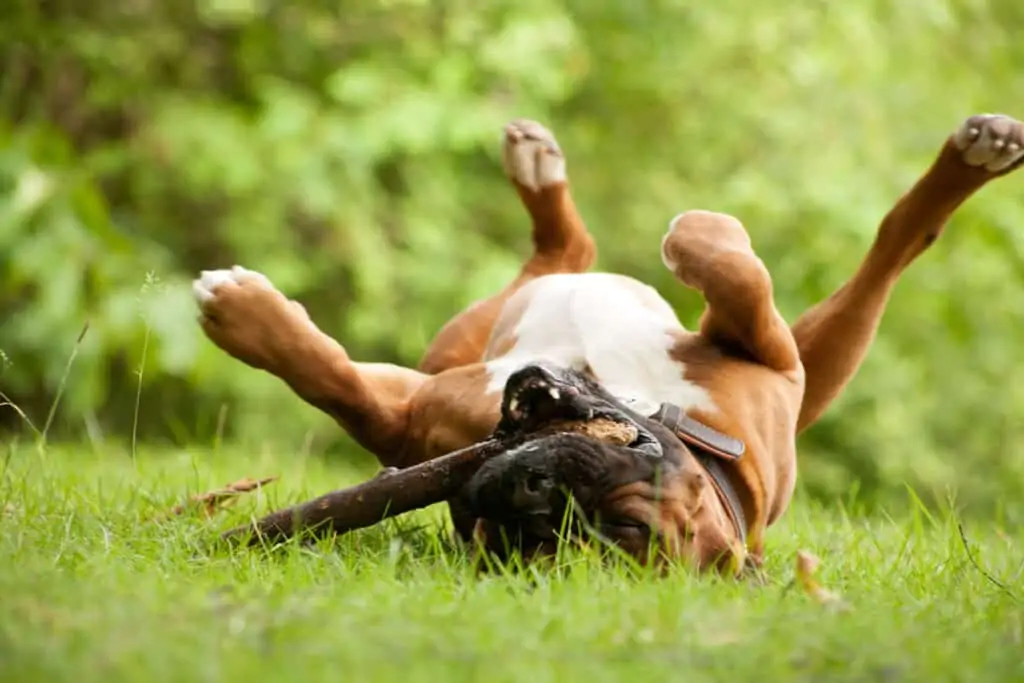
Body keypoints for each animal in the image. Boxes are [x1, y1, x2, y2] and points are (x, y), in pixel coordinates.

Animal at [192, 113, 1024, 573]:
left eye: (621, 531)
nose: (536, 494)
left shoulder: (403, 422)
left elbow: (343, 391)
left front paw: (239, 314)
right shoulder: (770, 356)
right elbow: (736, 271)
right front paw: (698, 234)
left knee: (891, 249)